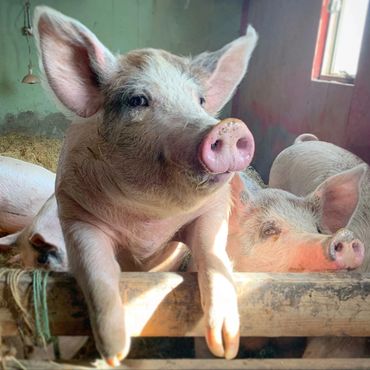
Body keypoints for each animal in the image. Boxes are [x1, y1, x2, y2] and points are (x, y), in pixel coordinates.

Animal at [32, 5, 258, 364]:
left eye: (201, 100)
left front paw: (226, 347)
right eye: (138, 100)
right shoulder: (75, 214)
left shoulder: (214, 208)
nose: (230, 127)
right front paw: (114, 352)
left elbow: (213, 254)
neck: (147, 221)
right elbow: (96, 271)